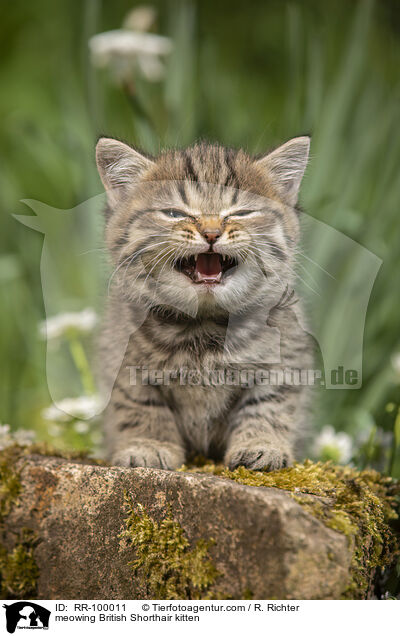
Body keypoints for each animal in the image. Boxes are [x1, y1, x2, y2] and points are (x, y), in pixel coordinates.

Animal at [96, 135, 312, 472]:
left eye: (241, 213)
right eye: (174, 213)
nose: (211, 232)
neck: (204, 325)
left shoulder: (285, 357)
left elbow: (268, 404)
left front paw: (261, 444)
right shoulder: (121, 359)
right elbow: (141, 405)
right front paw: (148, 445)